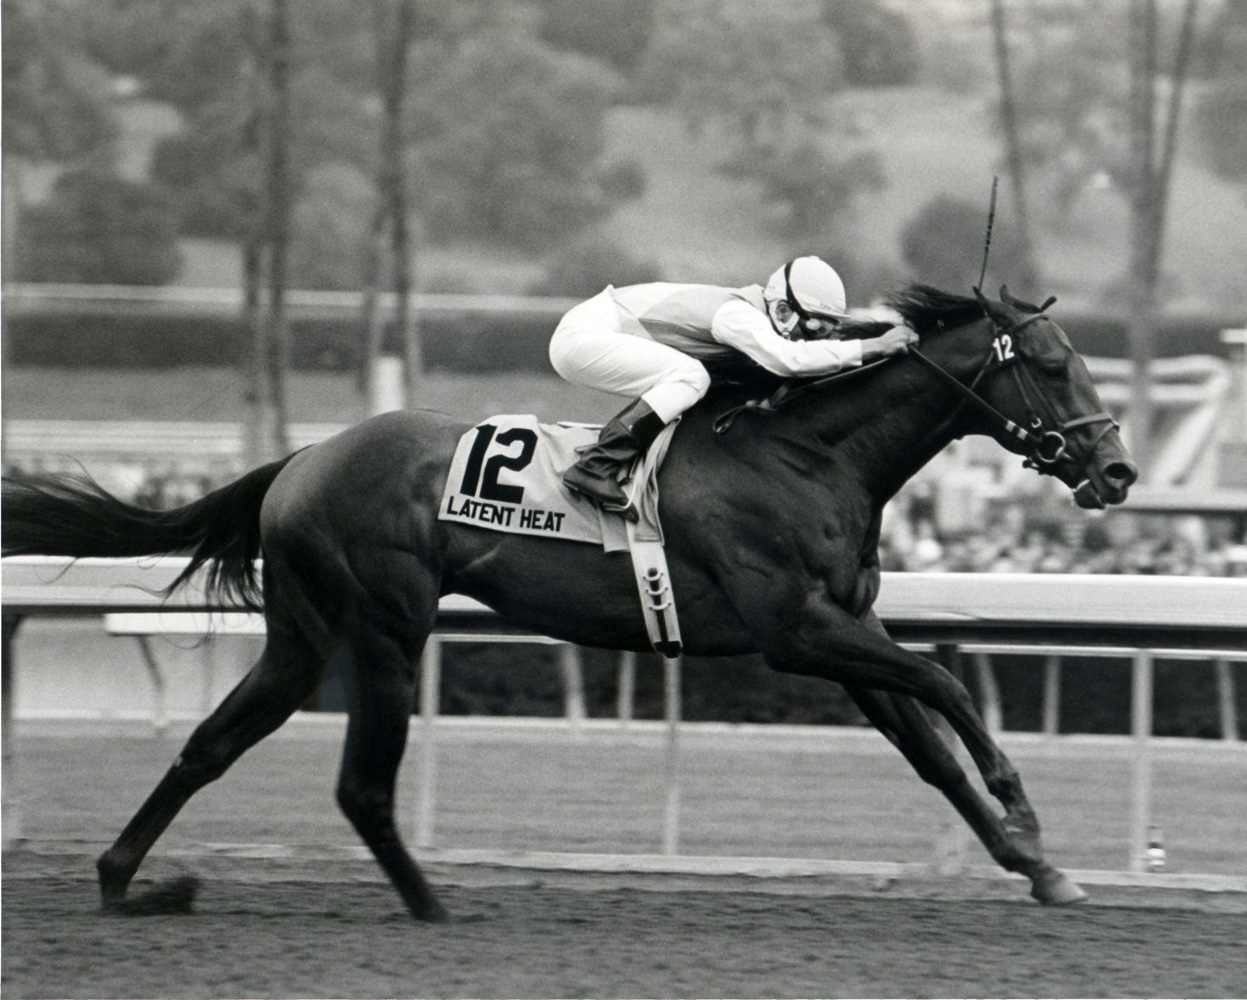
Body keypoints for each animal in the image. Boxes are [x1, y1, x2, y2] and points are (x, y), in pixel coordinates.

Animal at [0, 283, 1137, 917]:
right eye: (1049, 364)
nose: (1116, 470)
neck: (807, 452)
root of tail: (303, 459)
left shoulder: (841, 630)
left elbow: (929, 750)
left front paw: (1034, 866)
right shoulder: (797, 632)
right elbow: (947, 685)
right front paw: (1024, 810)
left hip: (303, 635)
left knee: (212, 743)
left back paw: (124, 880)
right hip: (385, 625)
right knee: (361, 783)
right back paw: (430, 903)